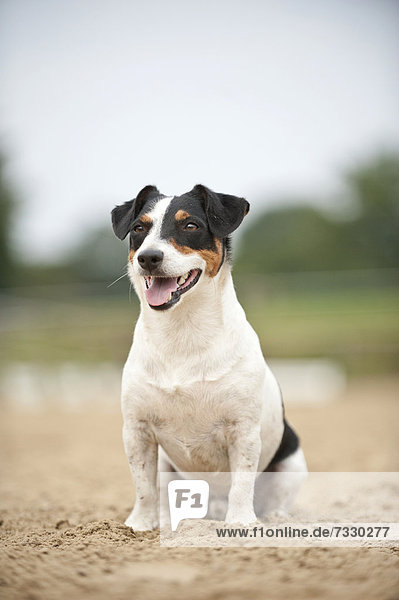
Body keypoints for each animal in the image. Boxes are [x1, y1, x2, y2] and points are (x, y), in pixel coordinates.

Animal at [111, 183, 308, 528]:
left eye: (191, 225)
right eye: (139, 229)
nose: (149, 257)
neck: (182, 332)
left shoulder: (243, 430)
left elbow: (242, 483)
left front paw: (240, 522)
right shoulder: (137, 430)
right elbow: (143, 486)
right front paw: (140, 524)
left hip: (292, 461)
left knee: (273, 498)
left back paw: (273, 517)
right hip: (168, 466)